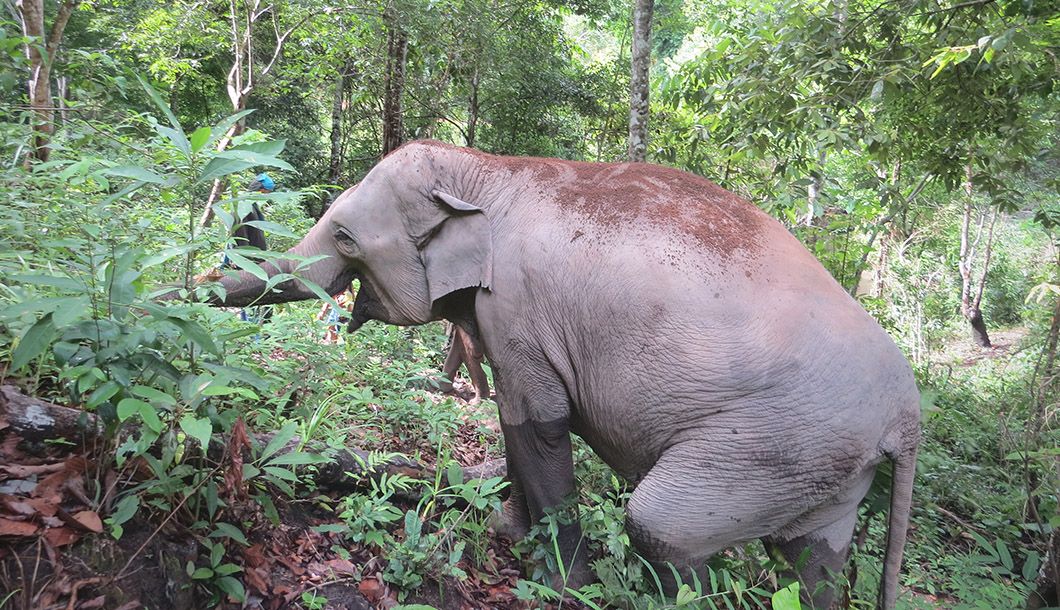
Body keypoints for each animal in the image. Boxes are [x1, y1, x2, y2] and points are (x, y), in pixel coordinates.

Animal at [195, 141, 924, 606]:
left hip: (775, 443)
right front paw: (506, 532)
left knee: (662, 528)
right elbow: (517, 429)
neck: (486, 170)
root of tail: (910, 415)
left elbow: (538, 424)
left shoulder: (520, 308)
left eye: (346, 238)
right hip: (830, 465)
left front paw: (562, 585)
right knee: (813, 558)